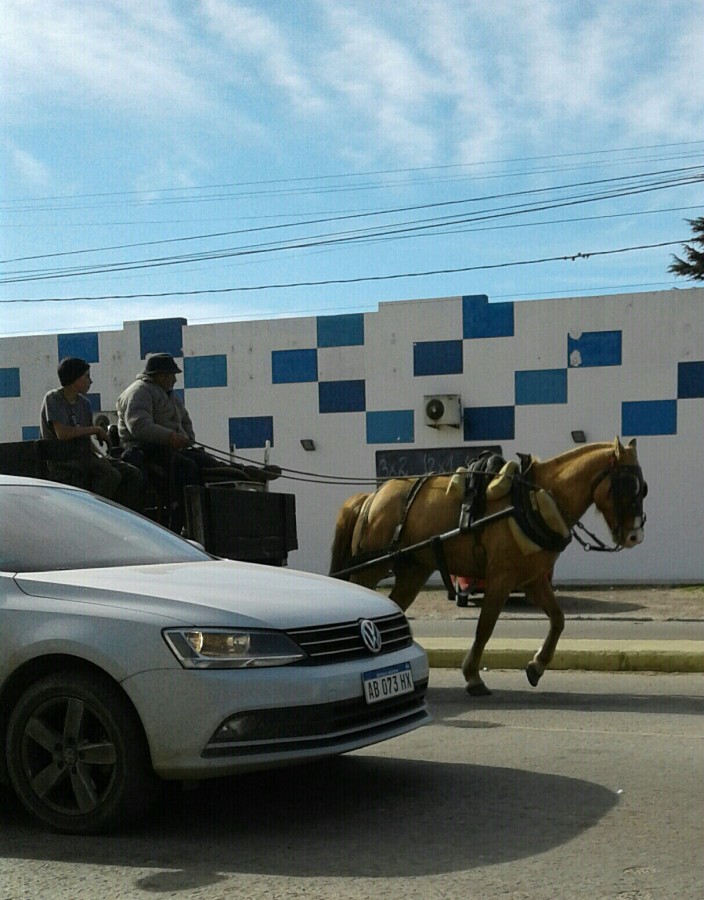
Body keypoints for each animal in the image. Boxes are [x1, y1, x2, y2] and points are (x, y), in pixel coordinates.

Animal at [332, 440, 648, 692]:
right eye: (627, 485)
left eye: (643, 488)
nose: (635, 536)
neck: (532, 500)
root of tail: (373, 497)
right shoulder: (501, 578)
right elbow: (485, 627)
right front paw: (472, 675)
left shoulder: (533, 579)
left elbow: (558, 620)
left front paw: (537, 665)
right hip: (370, 569)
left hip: (413, 572)